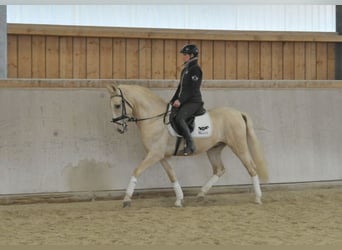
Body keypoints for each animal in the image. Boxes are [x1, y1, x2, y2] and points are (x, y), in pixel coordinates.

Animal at [106, 84, 268, 207]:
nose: (119, 129)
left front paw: (126, 199)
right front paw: (179, 199)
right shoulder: (162, 156)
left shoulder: (154, 154)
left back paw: (258, 198)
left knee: (251, 168)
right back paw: (201, 194)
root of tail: (238, 113)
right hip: (214, 149)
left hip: (238, 146)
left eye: (117, 105)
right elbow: (172, 175)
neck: (154, 119)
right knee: (219, 169)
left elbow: (137, 171)